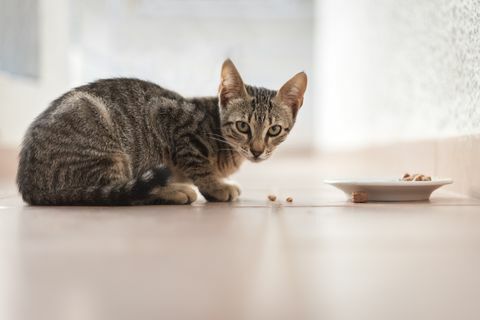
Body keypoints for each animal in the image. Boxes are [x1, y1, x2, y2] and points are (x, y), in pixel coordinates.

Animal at [16, 59, 308, 205]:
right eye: (243, 126)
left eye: (274, 130)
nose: (257, 151)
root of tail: (28, 183)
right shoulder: (173, 119)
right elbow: (200, 167)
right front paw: (216, 186)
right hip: (105, 145)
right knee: (121, 194)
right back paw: (175, 191)